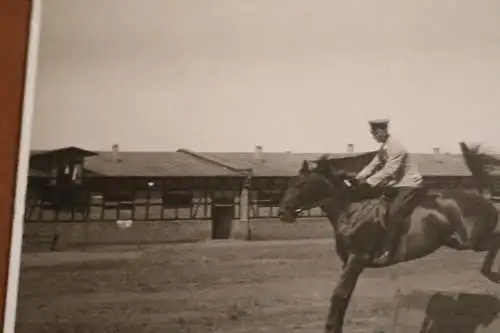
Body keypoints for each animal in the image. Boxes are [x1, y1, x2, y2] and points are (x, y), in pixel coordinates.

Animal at [278, 145, 500, 332]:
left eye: (302, 184)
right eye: (291, 183)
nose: (282, 212)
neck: (353, 210)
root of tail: (482, 196)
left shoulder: (357, 259)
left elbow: (339, 295)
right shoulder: (348, 263)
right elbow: (343, 296)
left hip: (473, 240)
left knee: (494, 242)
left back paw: (492, 275)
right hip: (458, 242)